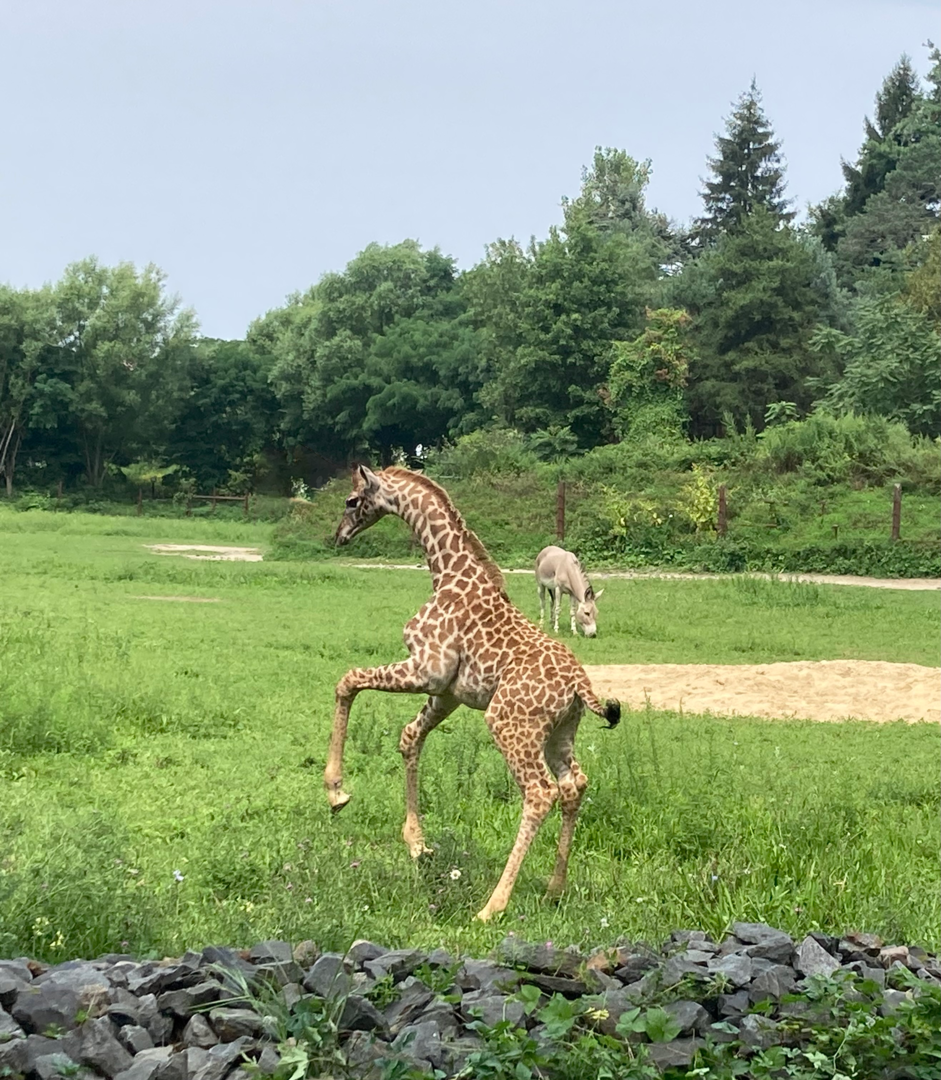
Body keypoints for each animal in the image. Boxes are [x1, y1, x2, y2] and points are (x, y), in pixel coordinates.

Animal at [324, 465, 620, 921]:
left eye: (352, 500)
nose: (339, 536)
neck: (445, 570)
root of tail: (579, 687)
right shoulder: (449, 692)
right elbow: (410, 737)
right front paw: (416, 843)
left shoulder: (426, 670)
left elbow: (348, 680)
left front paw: (336, 791)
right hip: (560, 733)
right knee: (575, 784)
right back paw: (554, 890)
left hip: (509, 723)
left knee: (540, 793)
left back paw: (493, 905)